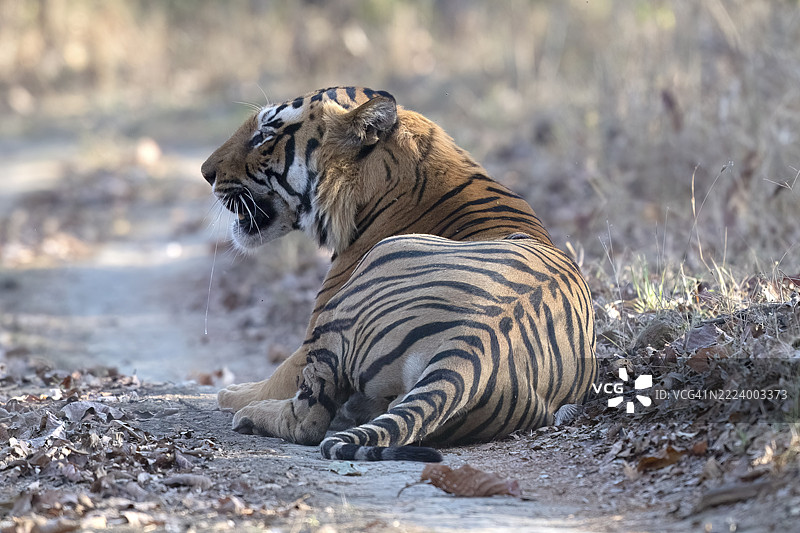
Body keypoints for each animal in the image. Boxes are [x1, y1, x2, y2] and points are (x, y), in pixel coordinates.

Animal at [201, 86, 596, 461]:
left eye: (265, 135)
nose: (206, 173)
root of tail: (472, 348)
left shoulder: (311, 335)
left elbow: (280, 373)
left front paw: (234, 393)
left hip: (362, 285)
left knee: (308, 419)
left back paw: (251, 414)